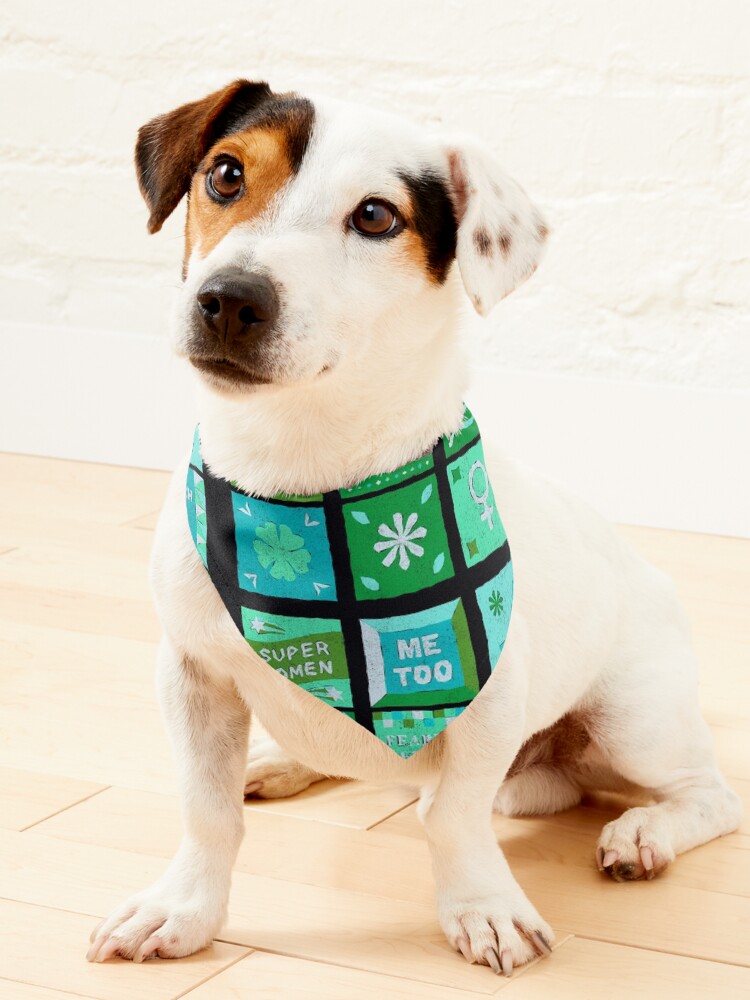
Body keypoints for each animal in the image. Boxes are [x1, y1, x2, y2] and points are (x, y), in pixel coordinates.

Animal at [85, 82, 744, 972]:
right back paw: (282, 761)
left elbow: (453, 817)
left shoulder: (491, 700)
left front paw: (483, 908)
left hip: (635, 719)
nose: (230, 298)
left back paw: (645, 833)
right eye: (225, 174)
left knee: (708, 796)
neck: (306, 481)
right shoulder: (192, 677)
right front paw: (183, 909)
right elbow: (207, 810)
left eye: (375, 216)